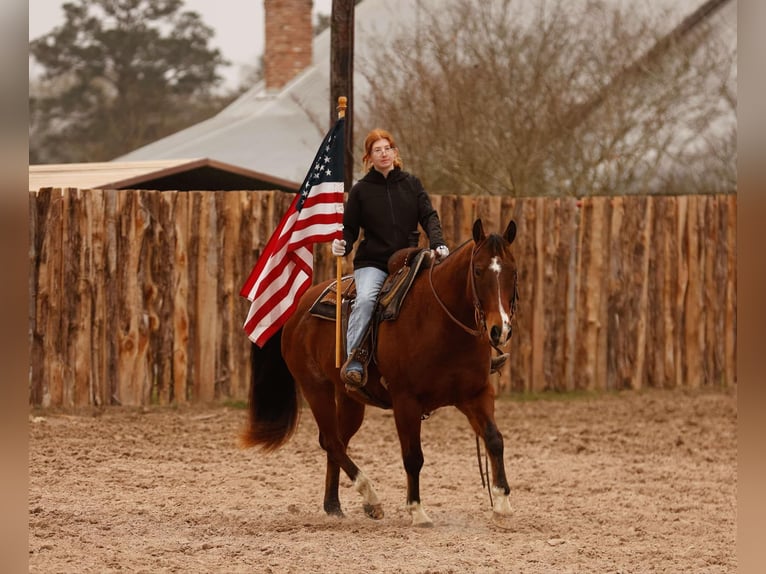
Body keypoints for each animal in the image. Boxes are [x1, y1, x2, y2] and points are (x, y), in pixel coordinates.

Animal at [244, 218, 520, 528]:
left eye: (513, 271)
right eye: (478, 270)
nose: (500, 330)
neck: (441, 321)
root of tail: (298, 306)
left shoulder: (476, 394)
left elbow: (495, 440)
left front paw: (502, 504)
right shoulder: (406, 401)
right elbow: (413, 456)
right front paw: (417, 511)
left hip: (350, 399)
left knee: (337, 441)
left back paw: (334, 505)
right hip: (316, 389)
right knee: (331, 441)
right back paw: (371, 498)